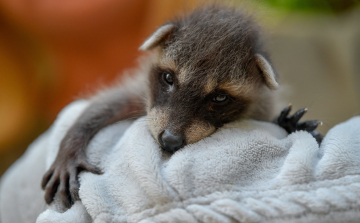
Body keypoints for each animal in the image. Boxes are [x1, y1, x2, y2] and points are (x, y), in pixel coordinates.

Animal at [41, 4, 320, 208]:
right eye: (168, 78)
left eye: (219, 98)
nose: (170, 140)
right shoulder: (144, 94)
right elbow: (106, 104)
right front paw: (71, 144)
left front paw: (286, 123)